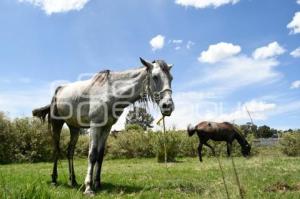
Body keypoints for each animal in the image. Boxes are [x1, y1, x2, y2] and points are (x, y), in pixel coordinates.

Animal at [32, 57, 173, 194]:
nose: (168, 106)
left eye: (171, 78)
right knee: (56, 150)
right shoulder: (95, 126)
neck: (110, 92)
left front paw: (97, 183)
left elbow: (100, 155)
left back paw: (73, 181)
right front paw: (88, 187)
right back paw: (54, 180)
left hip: (74, 128)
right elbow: (92, 154)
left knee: (69, 152)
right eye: (155, 77)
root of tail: (57, 93)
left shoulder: (106, 127)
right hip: (57, 124)